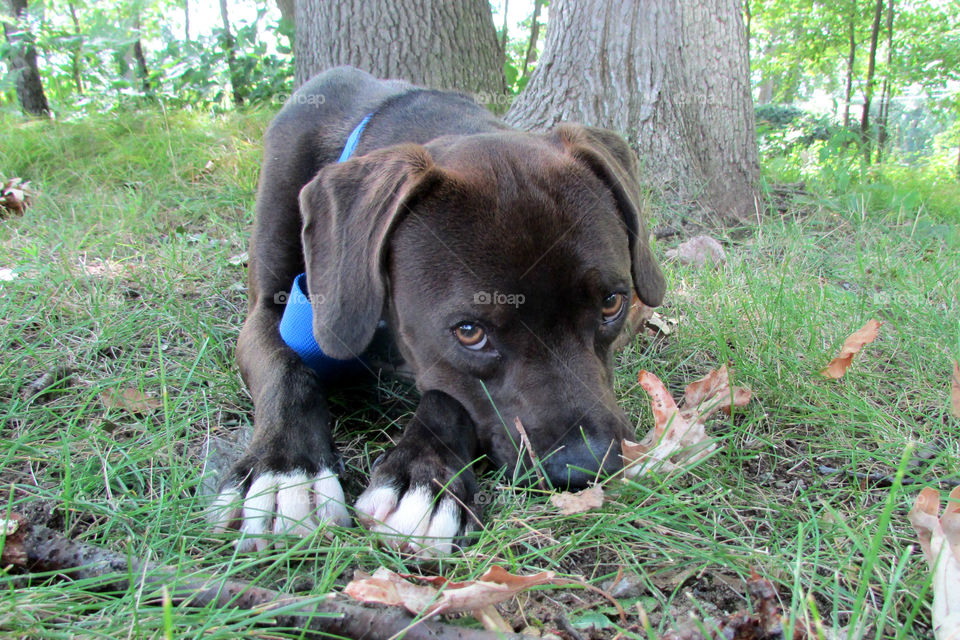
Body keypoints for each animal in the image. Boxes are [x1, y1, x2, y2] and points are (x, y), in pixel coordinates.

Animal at [213, 66, 664, 556]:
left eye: (611, 303)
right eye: (469, 332)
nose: (588, 466)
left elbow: (447, 394)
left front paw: (424, 480)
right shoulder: (268, 310)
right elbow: (286, 367)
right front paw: (286, 474)